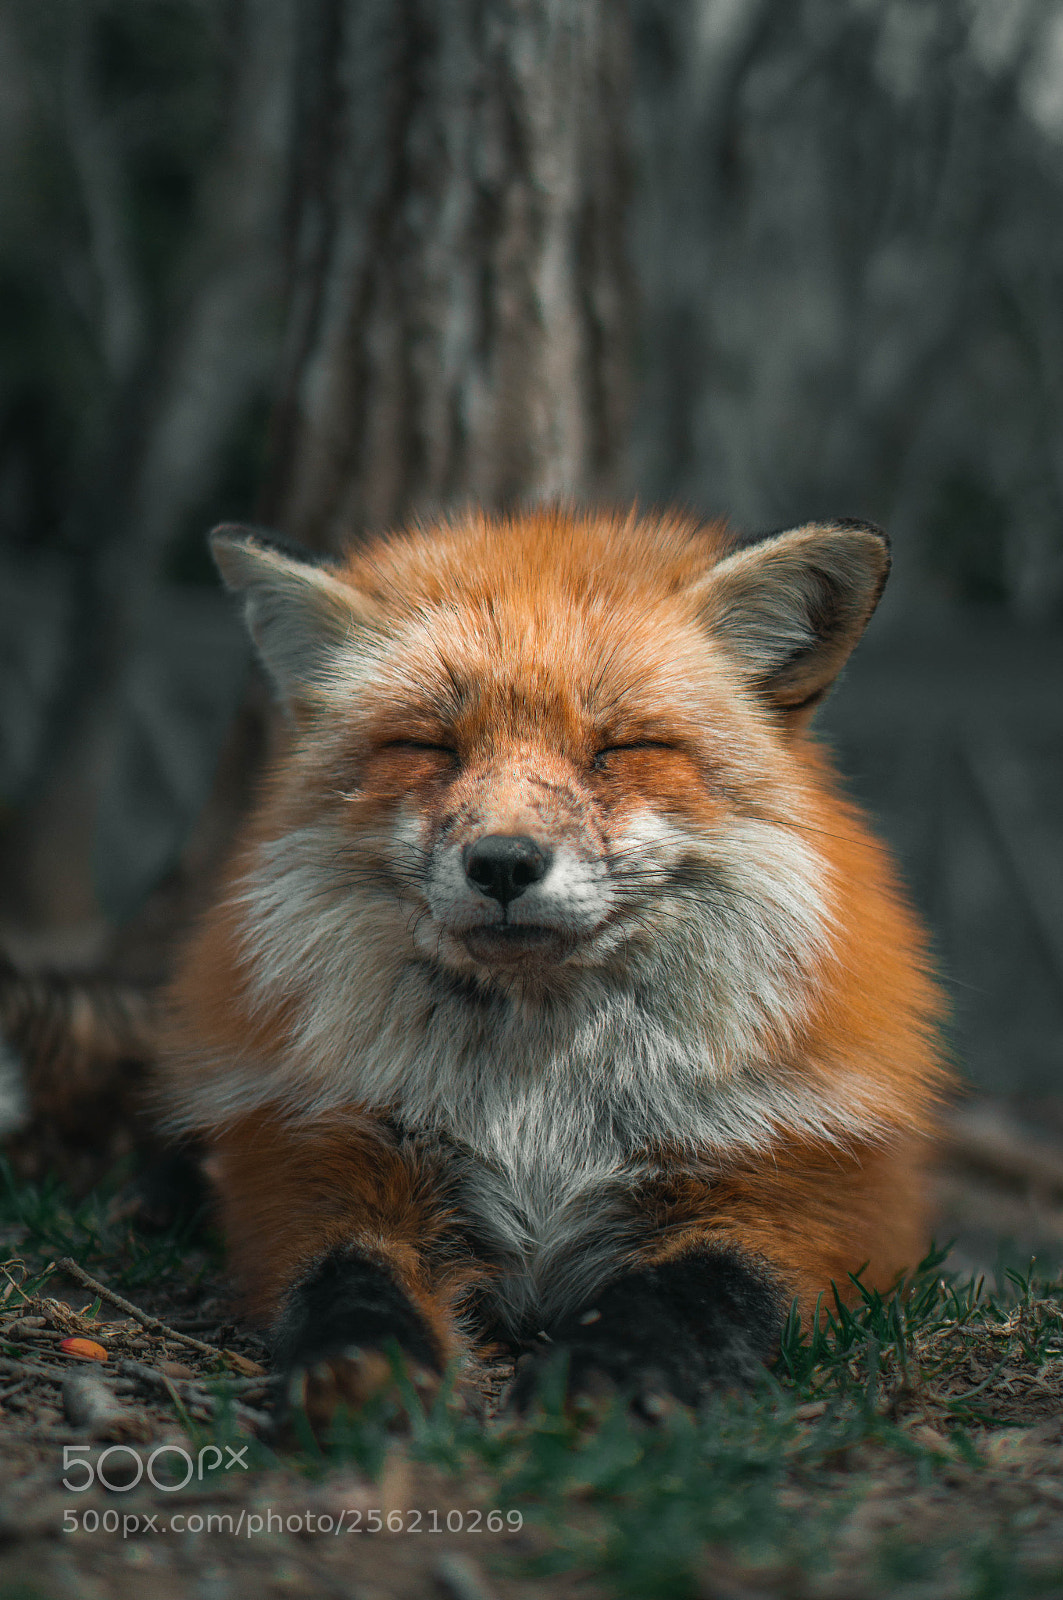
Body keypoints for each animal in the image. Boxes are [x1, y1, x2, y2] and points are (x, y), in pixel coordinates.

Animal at [158, 507, 947, 1417]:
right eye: (428, 746)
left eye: (622, 748)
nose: (503, 863)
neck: (540, 1118)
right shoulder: (325, 1165)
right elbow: (344, 1276)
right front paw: (362, 1366)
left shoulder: (790, 1199)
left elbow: (695, 1292)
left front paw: (610, 1372)